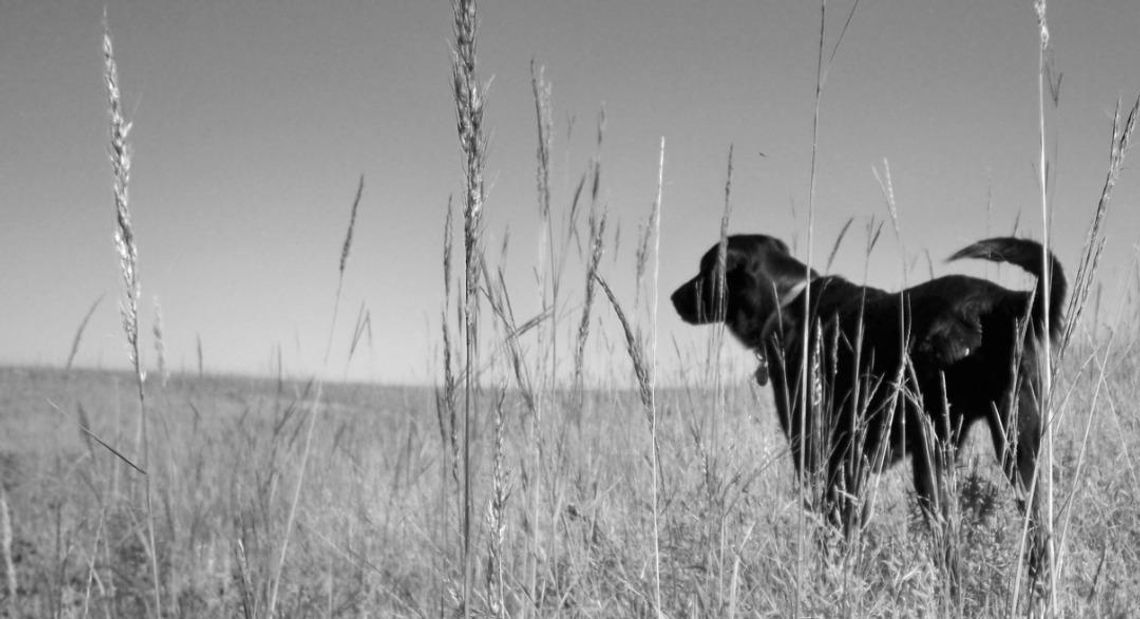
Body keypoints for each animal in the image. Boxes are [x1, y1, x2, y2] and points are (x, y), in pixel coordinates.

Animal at [670, 234, 1062, 544]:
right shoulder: (851, 465)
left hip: (932, 454)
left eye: (704, 269)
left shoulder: (817, 456)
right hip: (1016, 447)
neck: (788, 301)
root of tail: (1004, 302)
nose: (674, 297)